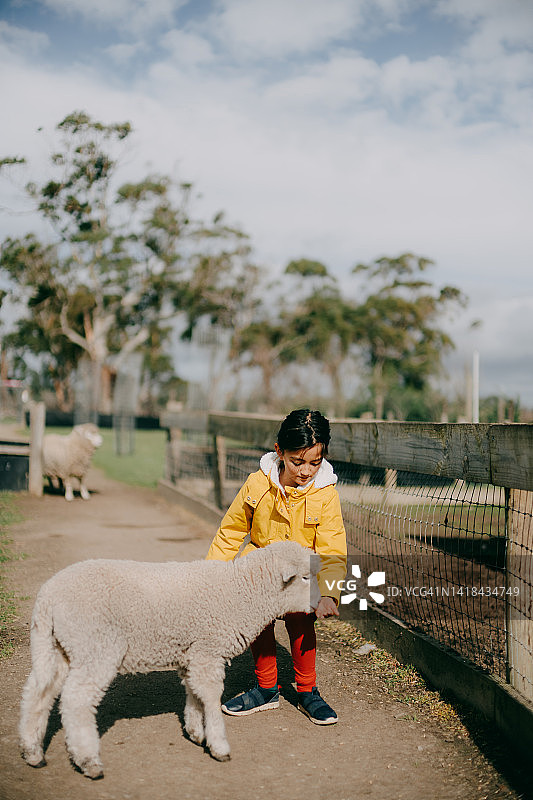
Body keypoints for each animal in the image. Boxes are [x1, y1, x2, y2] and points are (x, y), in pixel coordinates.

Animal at [19, 536, 320, 776]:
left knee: (37, 693)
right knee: (76, 700)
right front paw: (219, 745)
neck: (242, 593)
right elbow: (211, 696)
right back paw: (88, 761)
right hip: (96, 647)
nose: (320, 604)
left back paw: (32, 752)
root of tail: (48, 597)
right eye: (305, 577)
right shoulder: (208, 650)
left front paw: (196, 732)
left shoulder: (193, 653)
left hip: (55, 647)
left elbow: (193, 692)